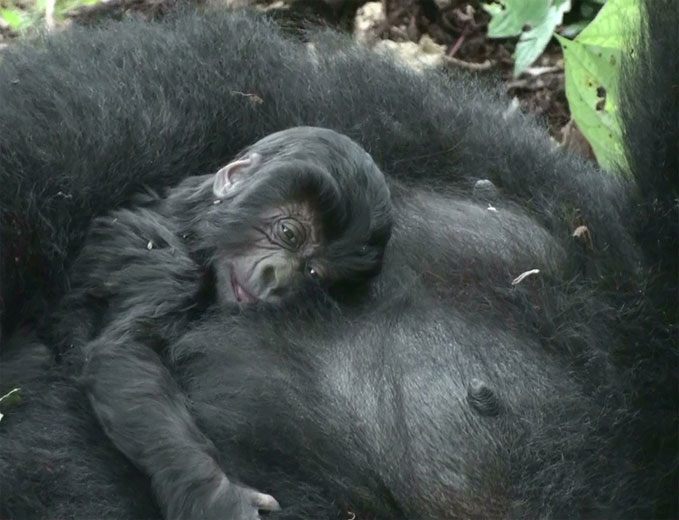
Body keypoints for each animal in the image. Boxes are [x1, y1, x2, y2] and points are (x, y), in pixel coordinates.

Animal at [50, 127, 390, 520]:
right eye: (288, 233)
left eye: (313, 273)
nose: (276, 280)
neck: (192, 227)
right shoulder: (166, 263)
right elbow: (125, 353)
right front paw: (218, 496)